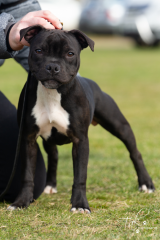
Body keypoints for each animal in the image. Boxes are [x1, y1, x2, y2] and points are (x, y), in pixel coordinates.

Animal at [7, 25, 155, 212]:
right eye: (38, 51)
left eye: (70, 53)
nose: (53, 67)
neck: (53, 93)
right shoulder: (28, 138)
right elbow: (27, 175)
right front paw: (21, 202)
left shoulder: (80, 140)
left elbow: (80, 175)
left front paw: (79, 205)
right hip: (49, 140)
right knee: (53, 157)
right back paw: (50, 186)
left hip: (119, 125)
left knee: (135, 152)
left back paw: (146, 184)